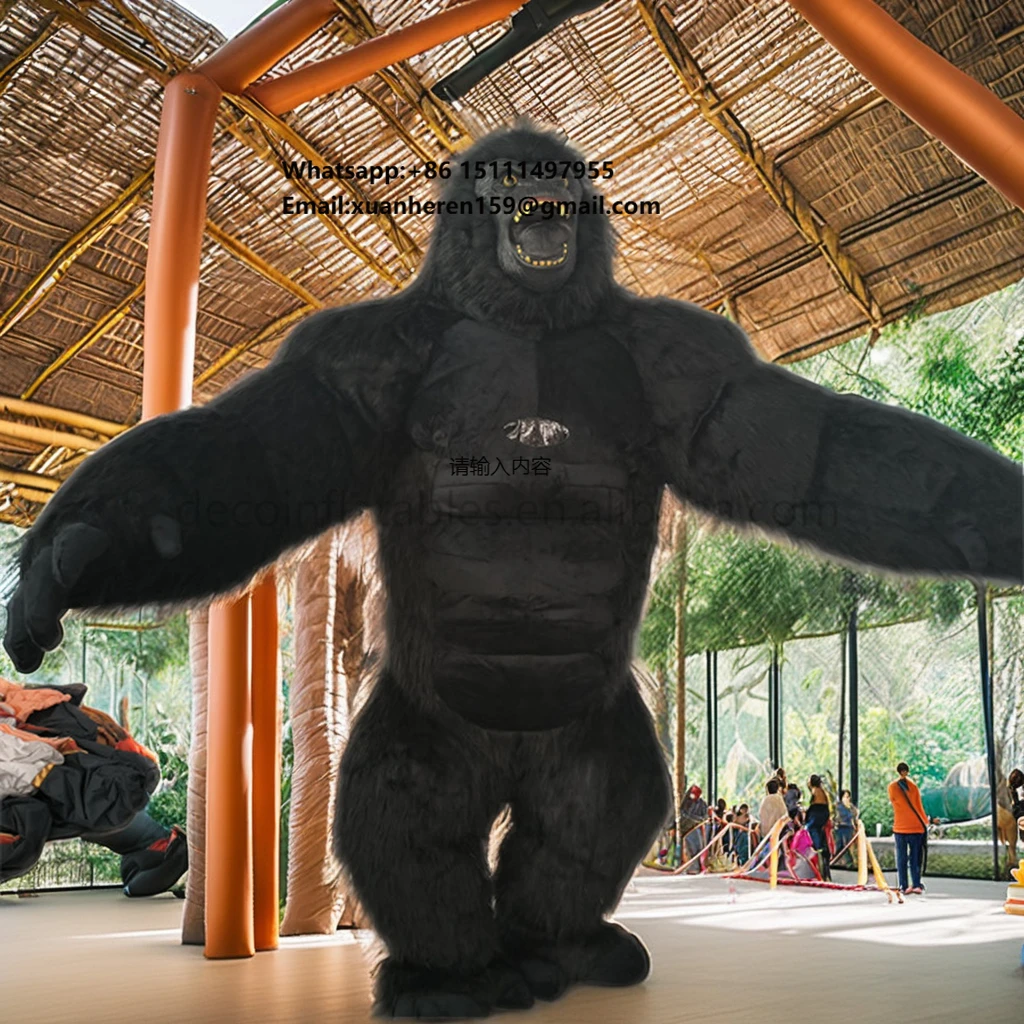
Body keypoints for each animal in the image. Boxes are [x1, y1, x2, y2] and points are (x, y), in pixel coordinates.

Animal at [4, 125, 1022, 1018]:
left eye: (557, 175)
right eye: (507, 174)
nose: (540, 193)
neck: (519, 313)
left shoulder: (683, 357)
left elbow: (810, 452)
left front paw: (997, 520)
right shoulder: (359, 354)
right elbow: (248, 462)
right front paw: (59, 561)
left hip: (588, 720)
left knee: (595, 805)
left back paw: (556, 946)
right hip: (433, 713)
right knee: (407, 808)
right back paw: (451, 973)